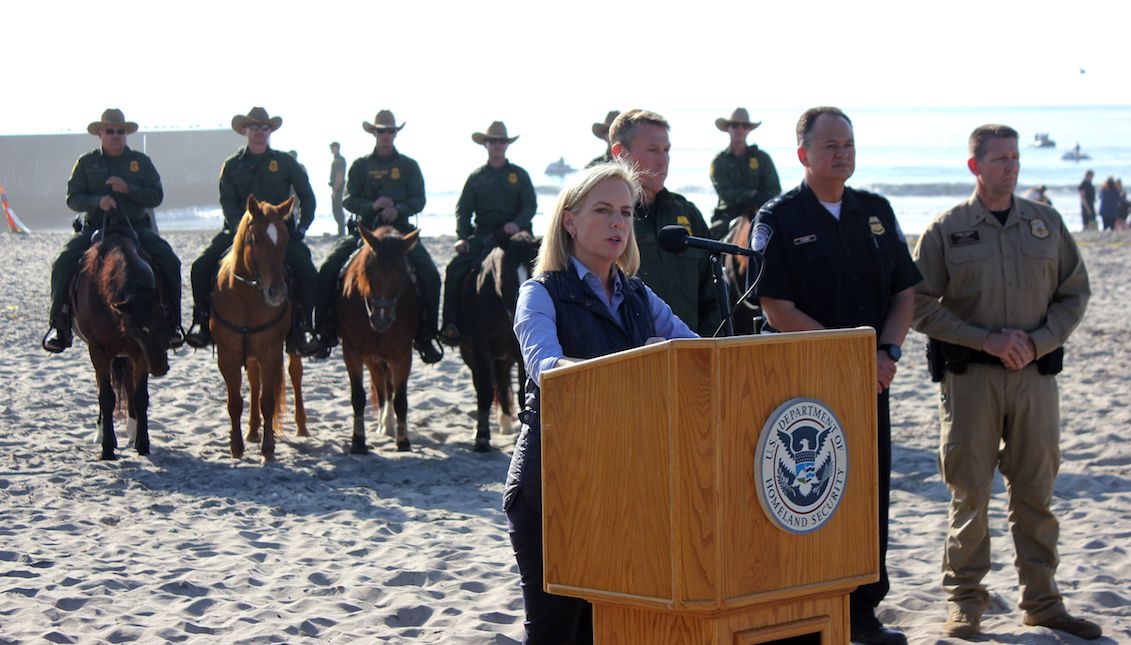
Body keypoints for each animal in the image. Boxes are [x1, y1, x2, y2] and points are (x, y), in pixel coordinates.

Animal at [74, 225, 170, 457]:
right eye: (139, 329)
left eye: (164, 320)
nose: (160, 367)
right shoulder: (98, 351)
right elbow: (106, 397)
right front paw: (107, 447)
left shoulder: (140, 354)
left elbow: (140, 396)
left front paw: (143, 443)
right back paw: (101, 433)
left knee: (128, 386)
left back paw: (133, 431)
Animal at [211, 193, 305, 459]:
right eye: (256, 239)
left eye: (285, 239)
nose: (278, 292)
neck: (247, 297)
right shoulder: (227, 356)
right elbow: (235, 401)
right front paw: (236, 446)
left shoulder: (271, 352)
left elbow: (268, 401)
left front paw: (268, 447)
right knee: (254, 380)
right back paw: (252, 430)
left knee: (295, 373)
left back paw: (301, 426)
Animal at [339, 222, 425, 450]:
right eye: (369, 269)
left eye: (402, 271)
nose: (380, 319)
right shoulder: (352, 353)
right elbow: (358, 397)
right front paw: (358, 440)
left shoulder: (402, 356)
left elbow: (400, 399)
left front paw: (403, 440)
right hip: (373, 359)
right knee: (381, 387)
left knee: (388, 388)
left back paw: (388, 426)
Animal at [454, 231, 538, 452]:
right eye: (507, 274)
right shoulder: (480, 350)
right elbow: (484, 392)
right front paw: (482, 438)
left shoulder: (521, 355)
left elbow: (522, 394)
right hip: (472, 356)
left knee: (501, 381)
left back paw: (506, 424)